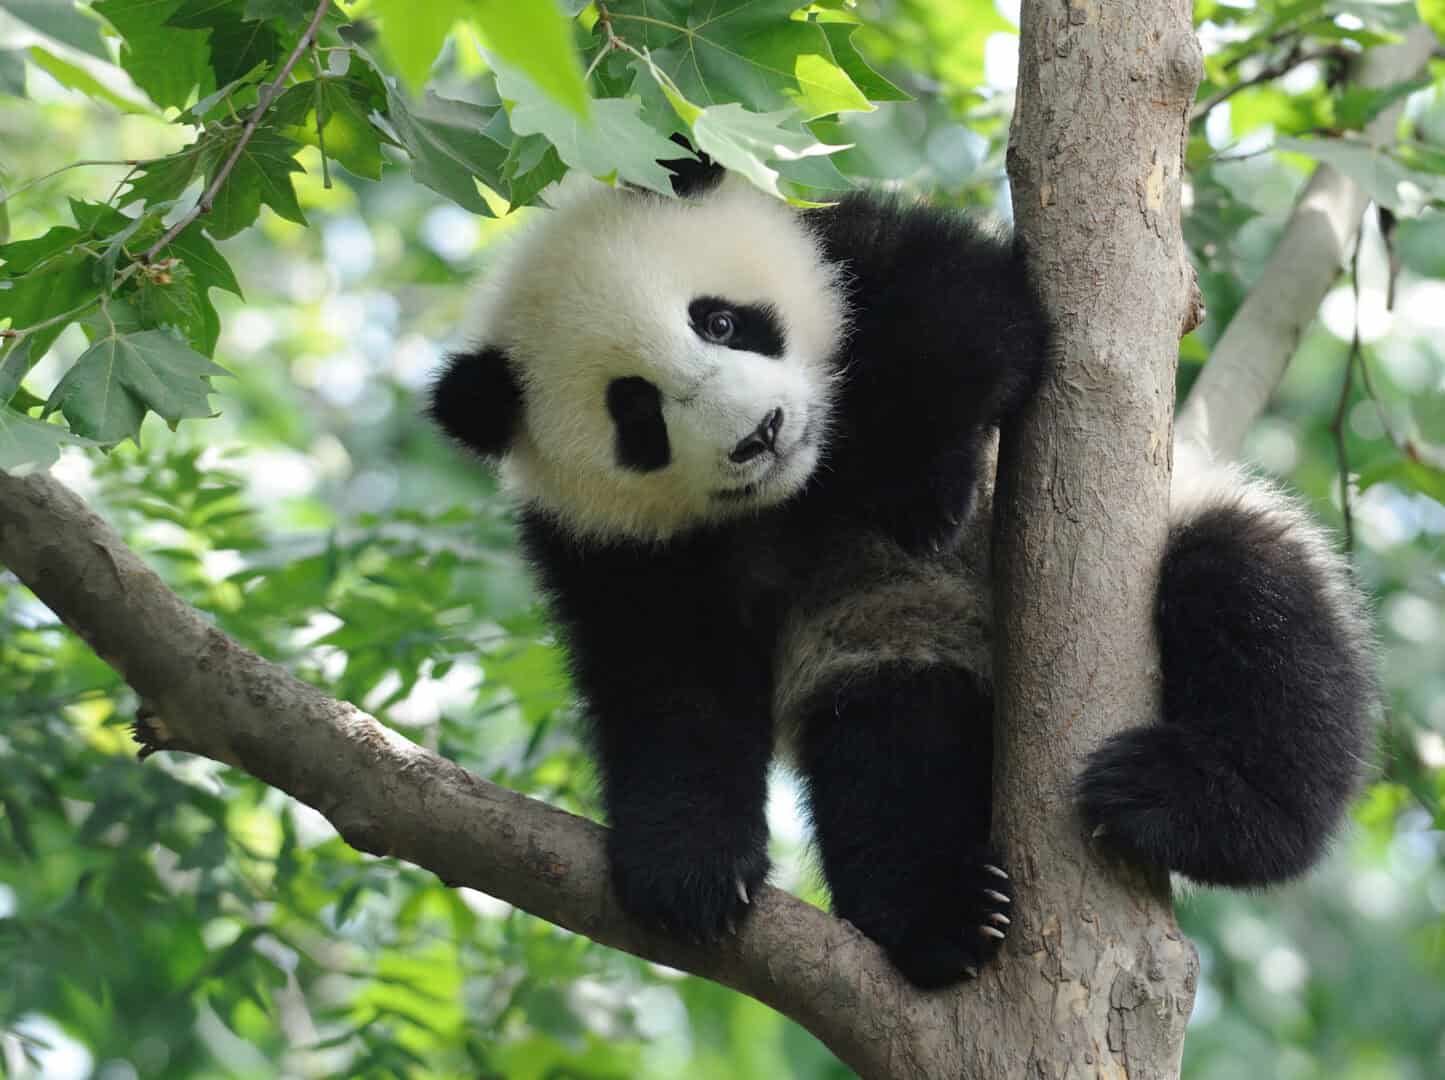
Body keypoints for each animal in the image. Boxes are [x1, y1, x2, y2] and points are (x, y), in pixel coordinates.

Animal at [429, 161, 1378, 989]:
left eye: (721, 322)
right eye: (635, 411)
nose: (761, 434)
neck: (797, 493)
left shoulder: (853, 249)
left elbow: (969, 315)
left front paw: (922, 490)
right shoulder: (609, 545)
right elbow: (669, 684)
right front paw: (688, 869)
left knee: (1254, 613)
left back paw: (1188, 804)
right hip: (890, 647)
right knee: (890, 758)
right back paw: (942, 918)